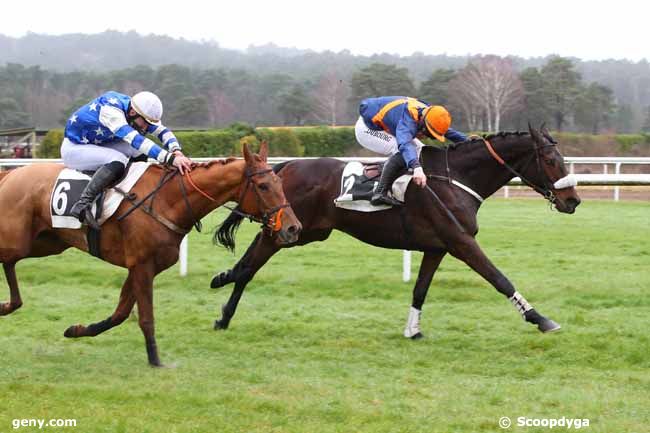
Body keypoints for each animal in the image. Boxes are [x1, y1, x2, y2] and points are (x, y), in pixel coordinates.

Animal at [0, 142, 302, 364]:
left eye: (280, 183)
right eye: (263, 186)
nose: (293, 228)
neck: (167, 200)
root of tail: (11, 174)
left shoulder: (140, 267)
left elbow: (121, 313)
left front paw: (77, 330)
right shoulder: (142, 266)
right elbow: (145, 317)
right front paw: (156, 361)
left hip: (46, 243)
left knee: (10, 263)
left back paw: (9, 305)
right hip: (20, 240)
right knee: (8, 260)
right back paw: (9, 305)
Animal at [210, 125, 580, 338]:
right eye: (550, 160)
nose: (573, 200)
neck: (457, 177)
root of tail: (283, 168)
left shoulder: (438, 246)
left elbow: (420, 289)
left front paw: (413, 329)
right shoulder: (461, 241)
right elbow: (500, 278)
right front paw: (540, 318)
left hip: (306, 231)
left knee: (253, 258)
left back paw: (225, 298)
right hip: (293, 229)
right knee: (252, 263)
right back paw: (225, 293)